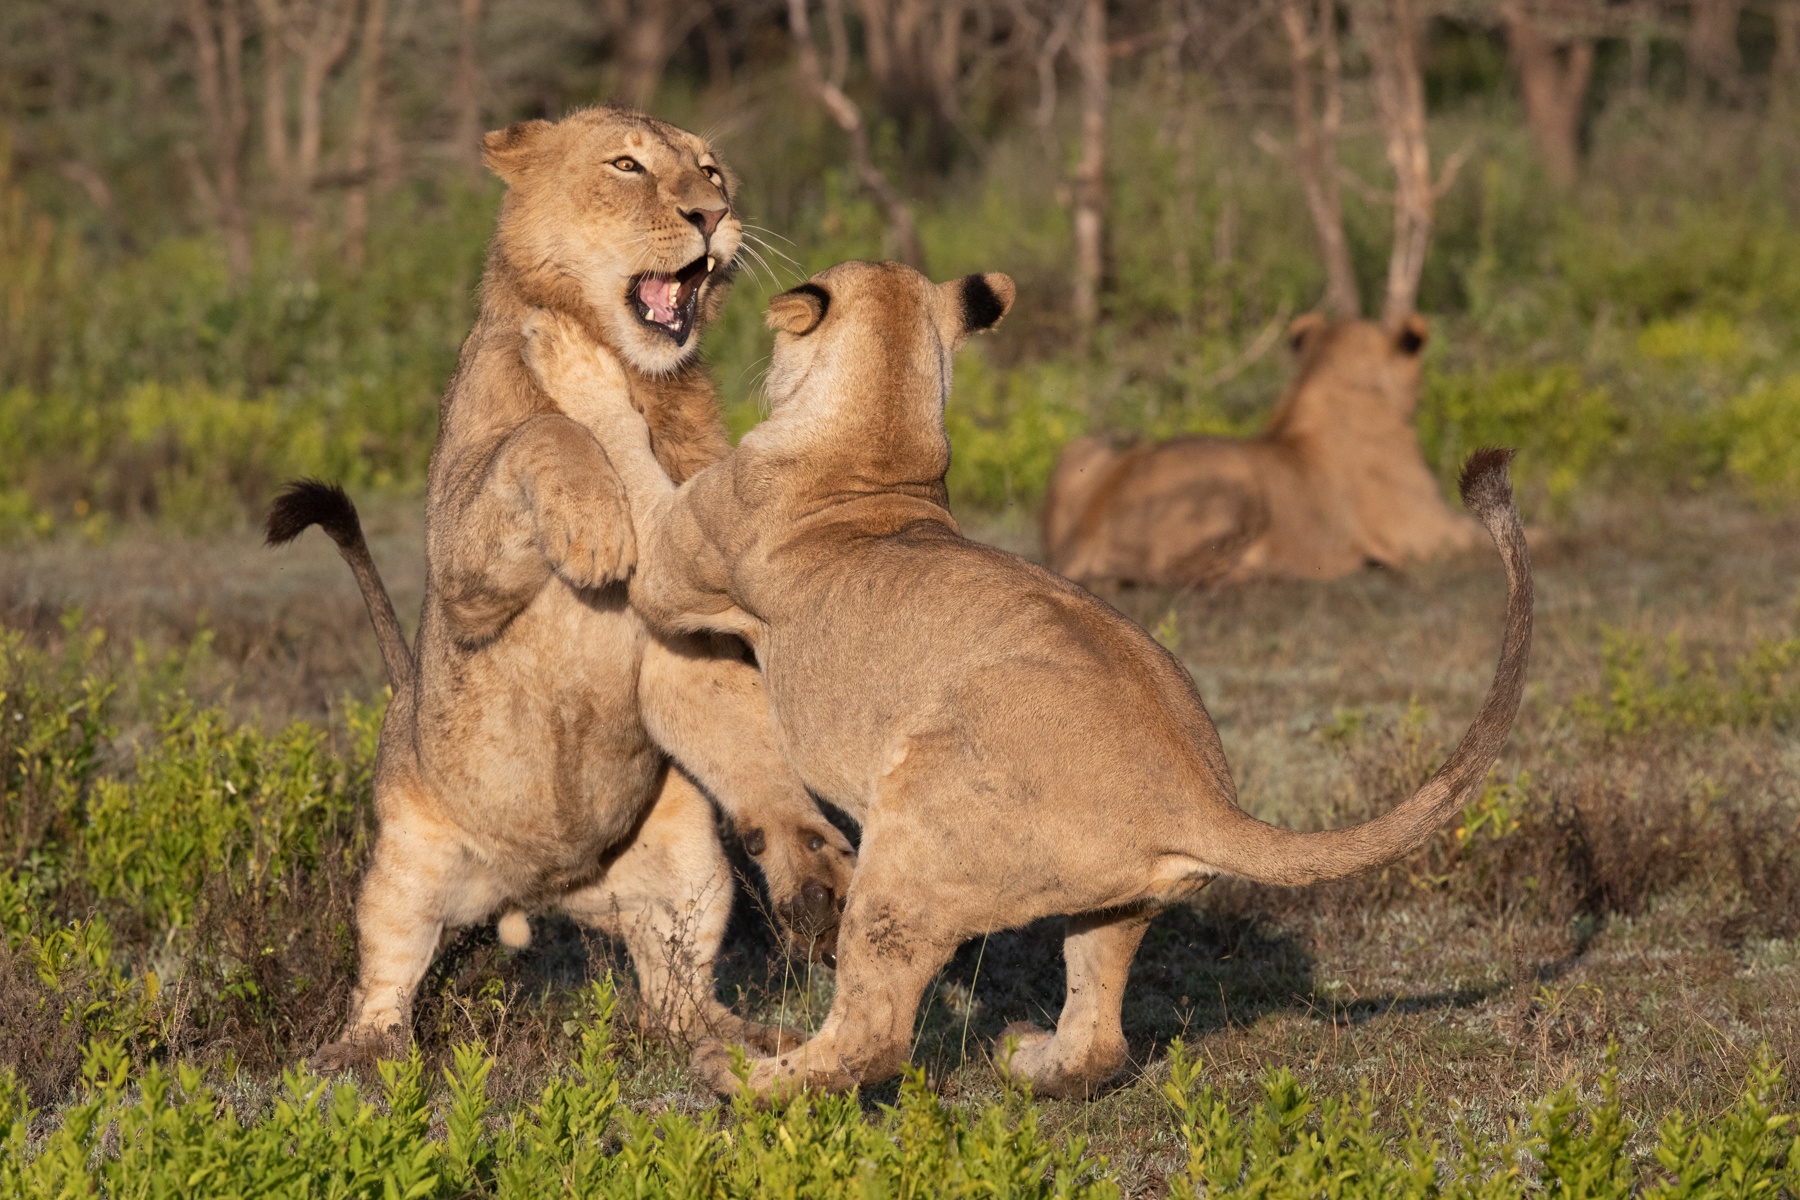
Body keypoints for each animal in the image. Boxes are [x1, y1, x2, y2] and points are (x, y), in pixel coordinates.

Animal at [262, 110, 853, 1072]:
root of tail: (535, 891)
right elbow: (541, 432)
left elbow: (736, 719)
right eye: (627, 165)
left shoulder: (686, 632)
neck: (638, 377)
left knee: (676, 1005)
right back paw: (361, 1060)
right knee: (386, 973)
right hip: (404, 864)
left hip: (689, 859)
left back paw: (754, 1042)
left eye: (712, 170)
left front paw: (811, 858)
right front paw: (596, 527)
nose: (711, 214)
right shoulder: (463, 571)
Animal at [1044, 313, 1490, 590]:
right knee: (1184, 574)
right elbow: (1490, 535)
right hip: (1236, 477)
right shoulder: (1423, 532)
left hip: (1085, 446)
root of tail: (1086, 531)